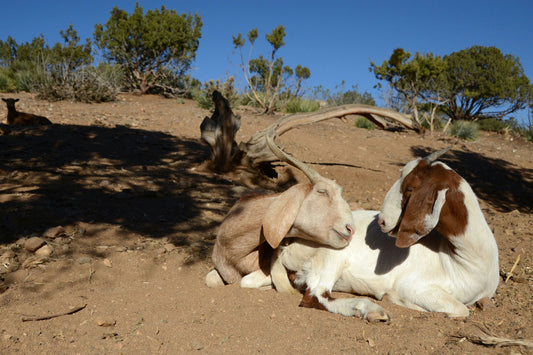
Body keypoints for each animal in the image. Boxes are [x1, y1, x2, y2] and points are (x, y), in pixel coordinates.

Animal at [268, 147, 500, 320]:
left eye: (410, 188)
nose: (382, 221)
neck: (466, 260)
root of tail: (289, 245)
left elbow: (464, 308)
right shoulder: (417, 287)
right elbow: (461, 310)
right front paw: (393, 298)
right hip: (332, 253)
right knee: (315, 296)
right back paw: (372, 311)